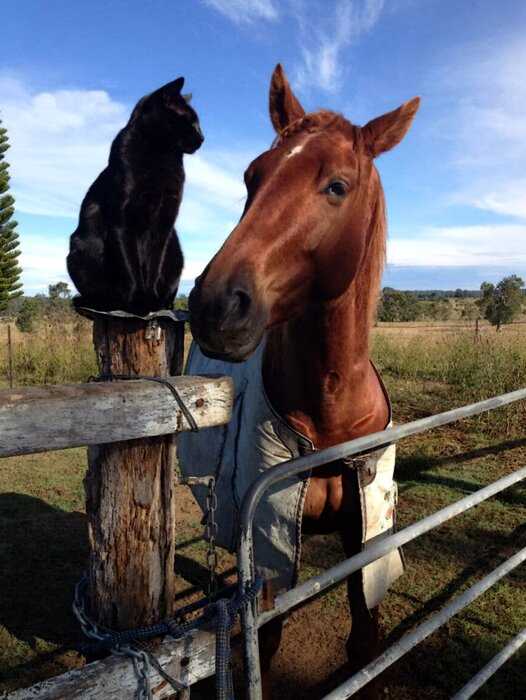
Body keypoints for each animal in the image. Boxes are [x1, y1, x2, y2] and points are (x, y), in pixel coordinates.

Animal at [68, 76, 204, 312]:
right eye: (190, 120)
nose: (202, 137)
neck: (161, 155)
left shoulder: (164, 222)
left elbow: (153, 264)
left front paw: (151, 299)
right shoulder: (123, 220)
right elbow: (131, 266)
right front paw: (138, 302)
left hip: (176, 253)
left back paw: (163, 303)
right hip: (80, 247)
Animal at [190, 64, 420, 696]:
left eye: (337, 186)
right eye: (252, 176)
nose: (215, 305)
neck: (329, 416)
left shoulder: (363, 539)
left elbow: (364, 638)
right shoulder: (269, 554)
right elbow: (263, 646)